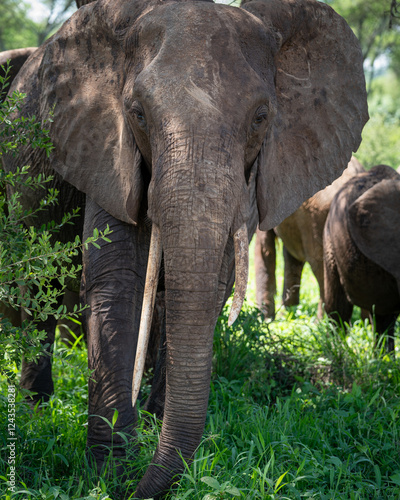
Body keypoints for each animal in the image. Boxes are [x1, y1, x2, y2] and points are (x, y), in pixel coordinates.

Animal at [256, 158, 366, 318]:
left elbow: (264, 249)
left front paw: (265, 319)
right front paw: (287, 314)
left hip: (317, 220)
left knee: (320, 268)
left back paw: (321, 322)